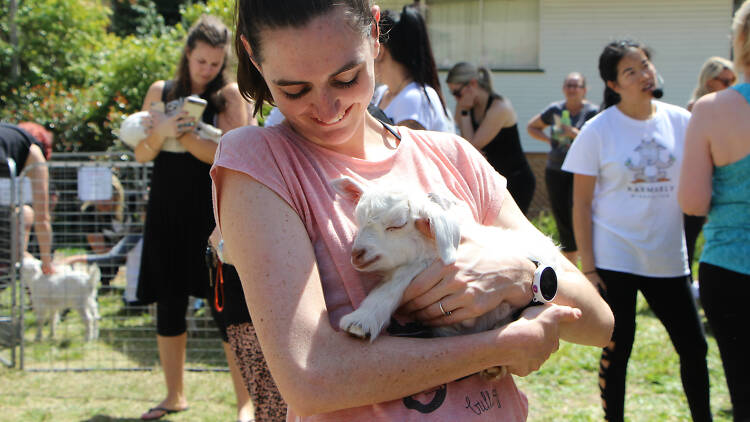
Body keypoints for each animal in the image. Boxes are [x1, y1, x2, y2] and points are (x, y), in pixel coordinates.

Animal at [332, 177, 560, 380]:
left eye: (397, 225)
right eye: (359, 221)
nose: (357, 254)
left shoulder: (424, 264)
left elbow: (391, 286)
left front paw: (360, 322)